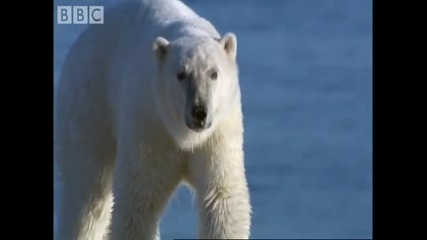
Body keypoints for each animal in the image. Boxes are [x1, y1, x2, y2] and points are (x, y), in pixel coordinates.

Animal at [55, 0, 252, 240]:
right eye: (181, 74)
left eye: (214, 73)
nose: (199, 111)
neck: (183, 134)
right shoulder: (150, 125)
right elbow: (140, 200)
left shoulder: (219, 133)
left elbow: (221, 197)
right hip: (90, 106)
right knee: (87, 196)